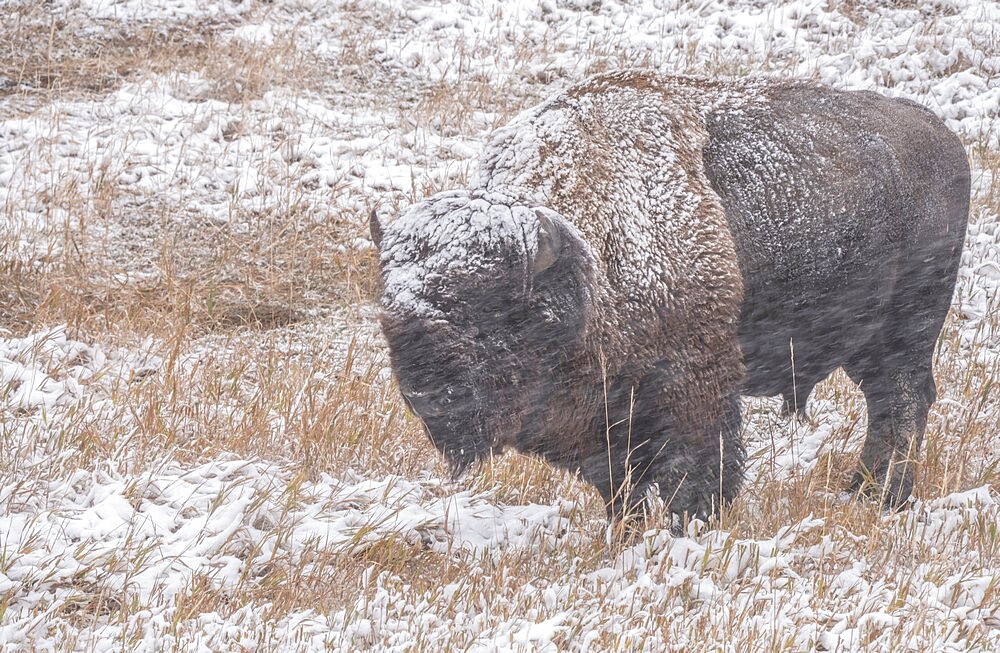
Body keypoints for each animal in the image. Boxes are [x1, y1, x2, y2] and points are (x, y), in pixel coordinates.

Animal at [368, 69, 968, 524]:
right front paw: (625, 528)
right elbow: (618, 483)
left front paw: (693, 525)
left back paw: (882, 496)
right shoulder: (606, 416)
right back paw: (861, 491)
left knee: (902, 403)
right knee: (887, 403)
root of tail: (943, 137)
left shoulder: (694, 387)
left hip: (907, 329)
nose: (426, 394)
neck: (584, 259)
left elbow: (694, 473)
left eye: (490, 312)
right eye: (390, 314)